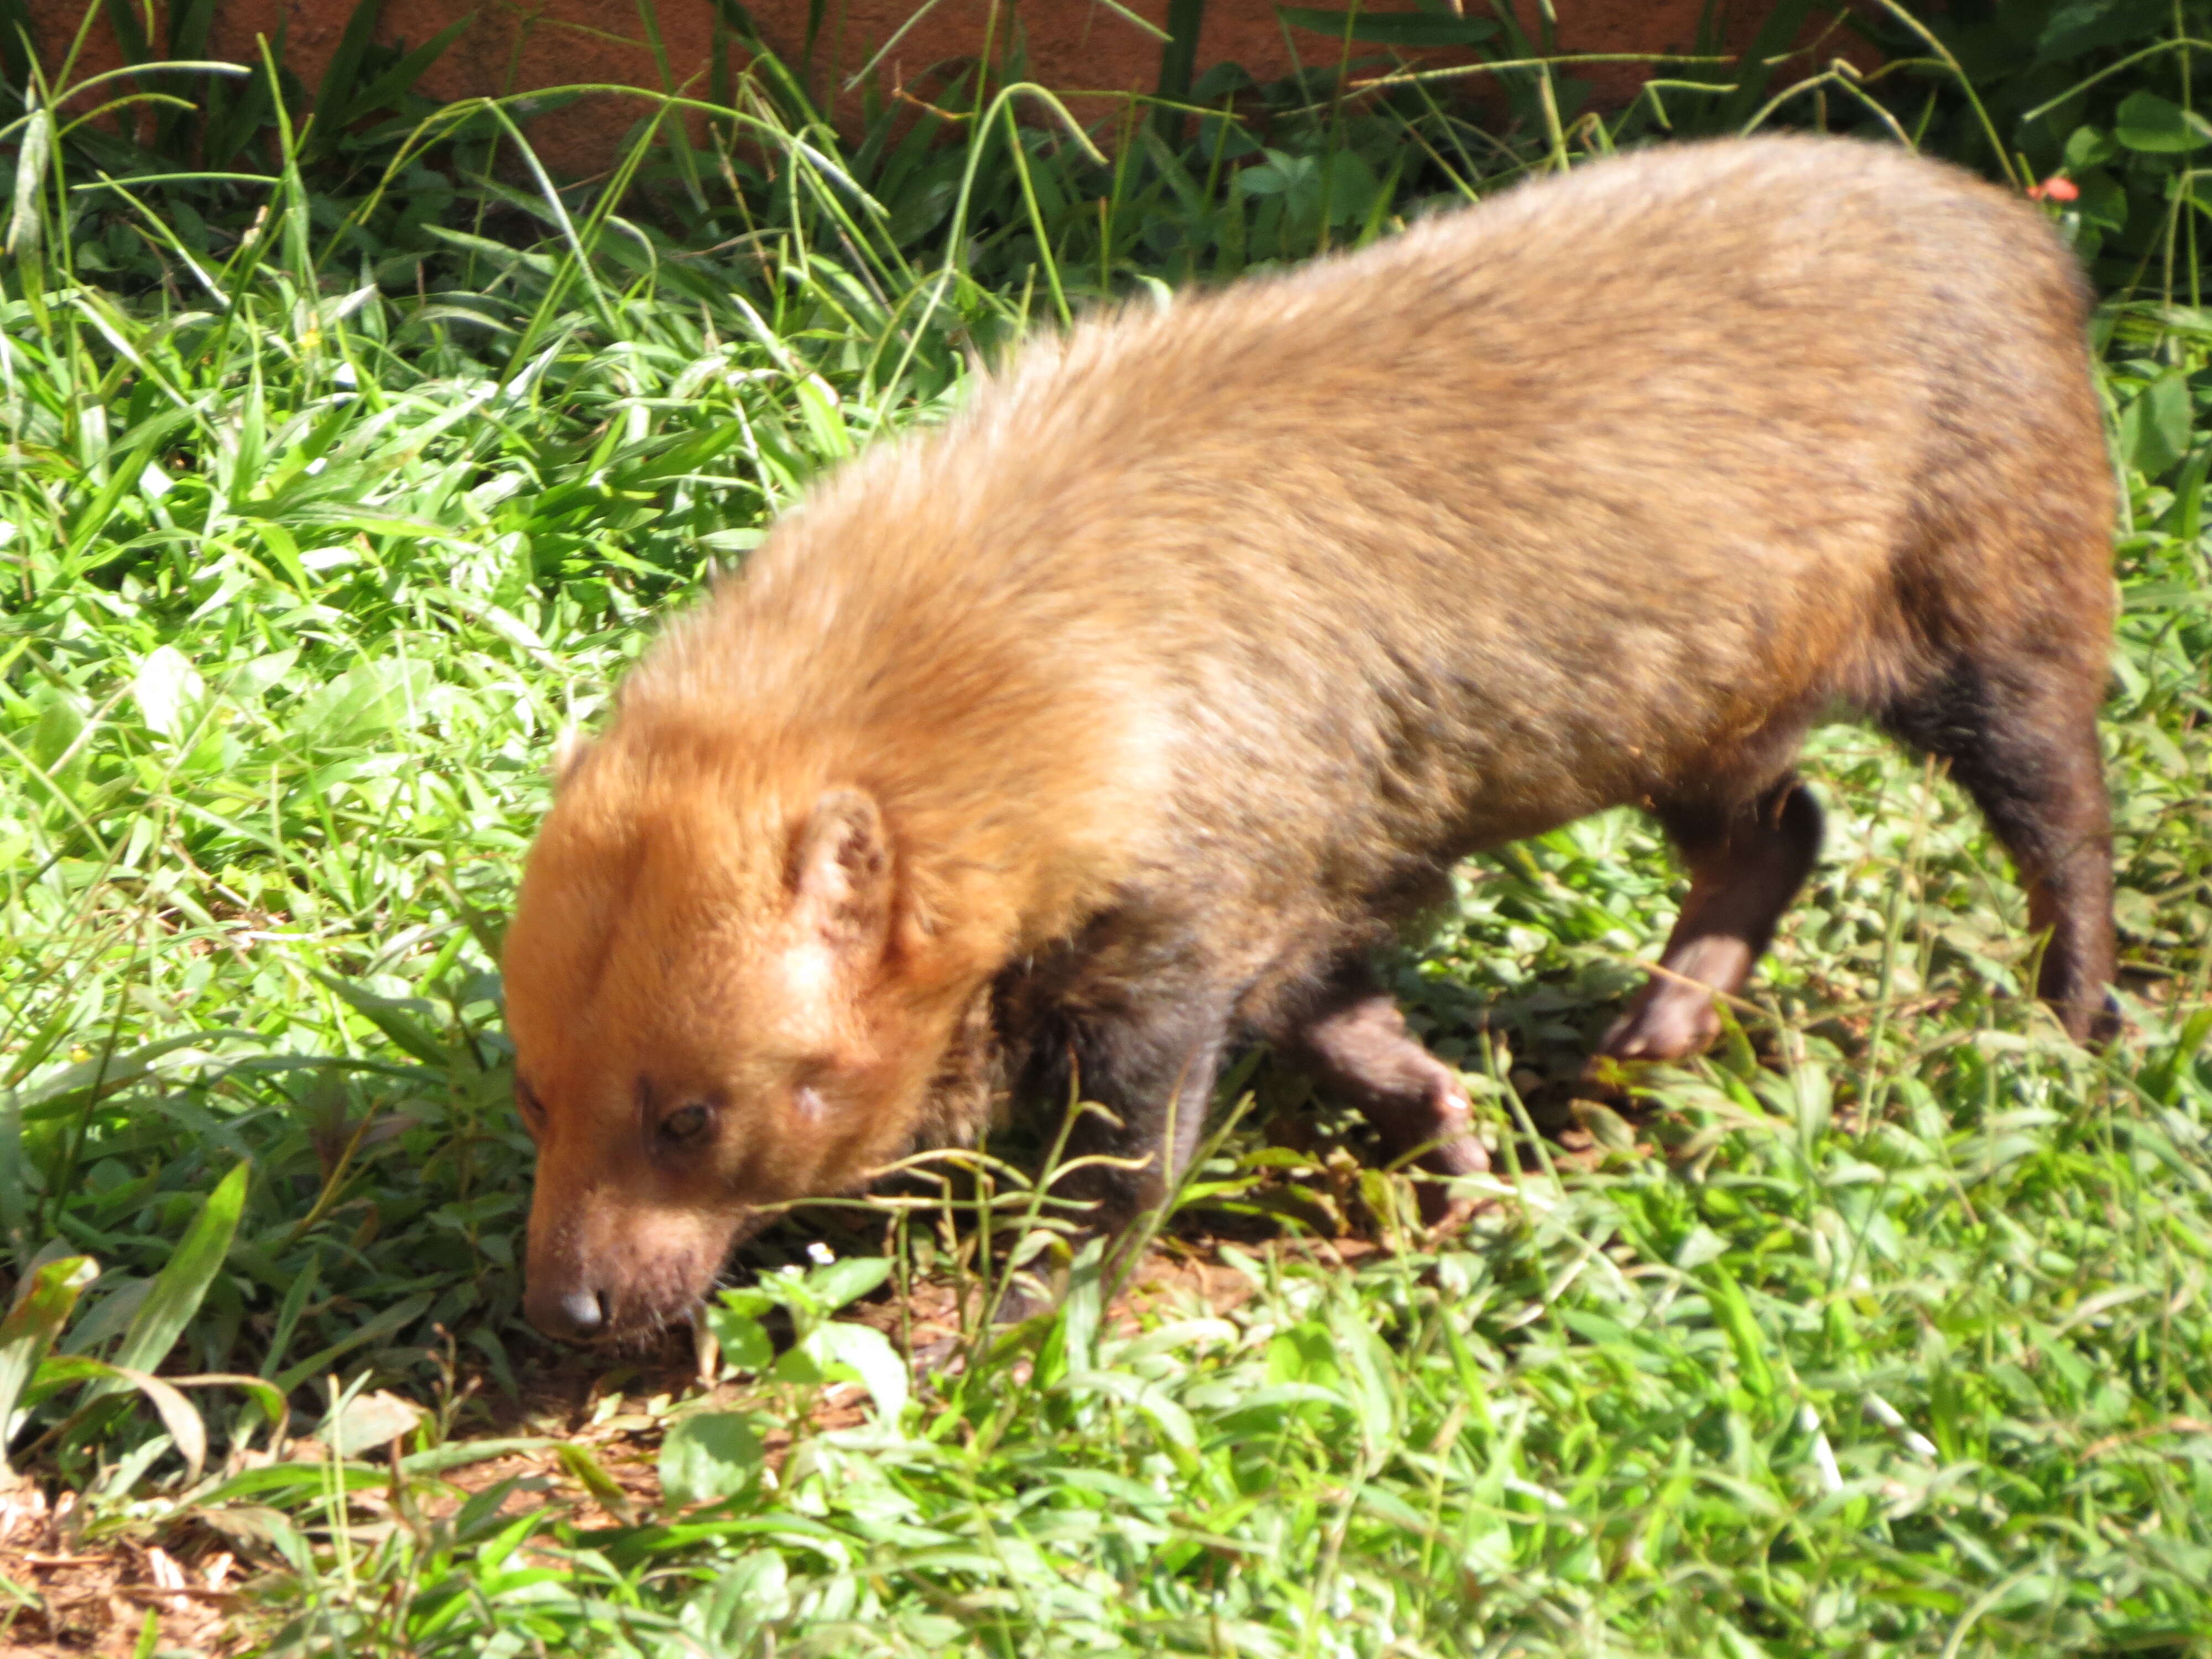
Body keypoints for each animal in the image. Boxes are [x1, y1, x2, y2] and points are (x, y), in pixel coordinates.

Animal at [509, 137, 2115, 1345]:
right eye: (536, 1090)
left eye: (690, 1116)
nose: (564, 1313)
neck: (1032, 646)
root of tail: (2026, 236)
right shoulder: (1294, 897)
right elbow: (1369, 1042)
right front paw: (1460, 1154)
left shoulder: (1181, 927)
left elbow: (1134, 1164)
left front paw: (1023, 1320)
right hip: (1699, 702)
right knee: (1781, 827)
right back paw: (1657, 1030)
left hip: (1997, 614)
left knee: (2061, 817)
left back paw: (2073, 1019)